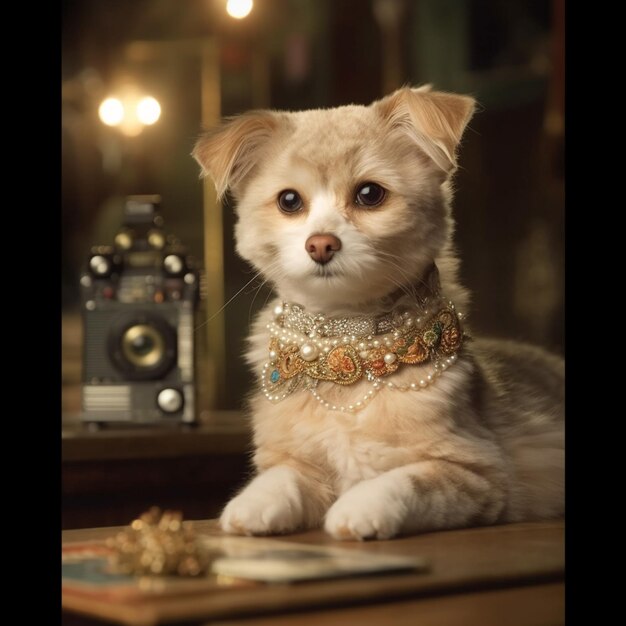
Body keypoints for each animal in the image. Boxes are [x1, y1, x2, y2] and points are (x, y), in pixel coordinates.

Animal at [193, 85, 564, 540]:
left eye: (369, 194)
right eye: (289, 201)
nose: (320, 244)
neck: (346, 342)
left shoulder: (478, 473)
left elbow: (404, 480)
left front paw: (359, 509)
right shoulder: (299, 461)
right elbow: (281, 478)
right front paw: (252, 504)